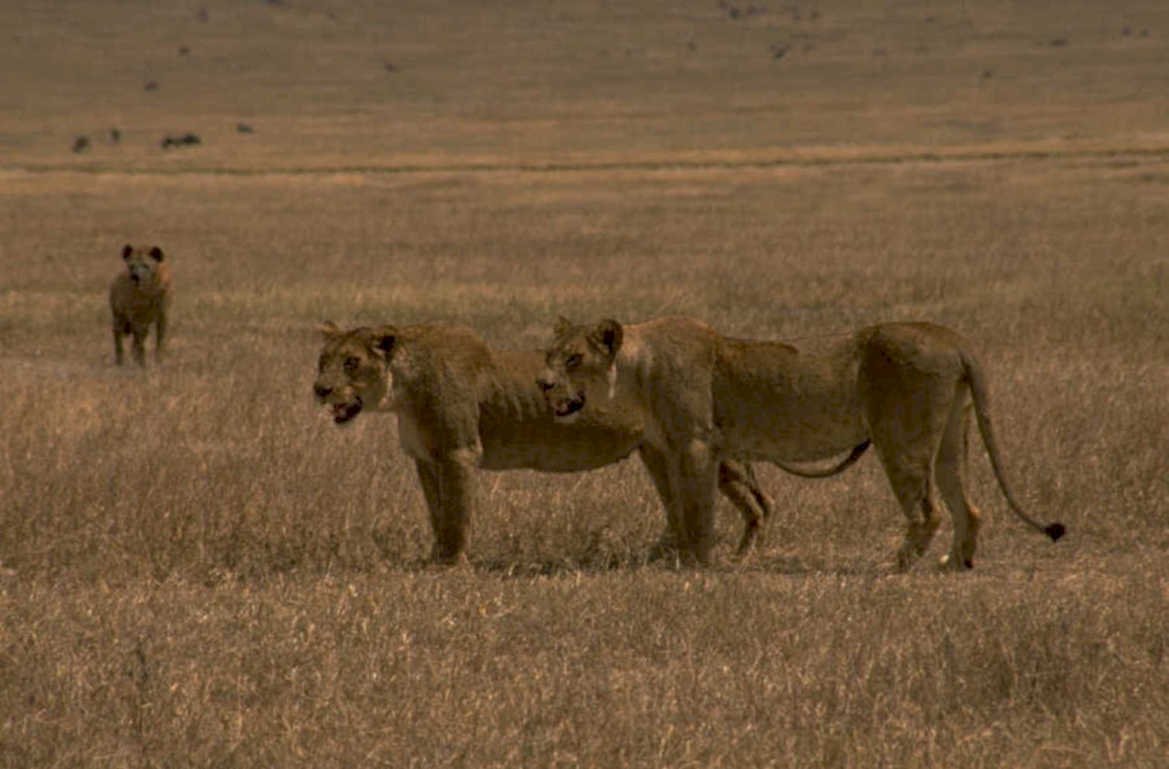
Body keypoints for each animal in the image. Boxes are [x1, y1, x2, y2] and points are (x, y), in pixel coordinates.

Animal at [312, 322, 778, 564]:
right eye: (323, 360)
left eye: (351, 362)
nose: (319, 389)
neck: (401, 391)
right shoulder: (426, 459)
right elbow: (437, 513)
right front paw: (434, 558)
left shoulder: (458, 453)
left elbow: (456, 514)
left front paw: (450, 566)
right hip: (659, 454)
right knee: (681, 505)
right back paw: (663, 554)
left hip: (705, 450)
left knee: (761, 503)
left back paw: (739, 557)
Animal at [539, 316, 1065, 569]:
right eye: (548, 355)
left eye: (574, 358)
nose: (543, 384)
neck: (634, 369)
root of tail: (954, 338)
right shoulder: (664, 450)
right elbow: (675, 508)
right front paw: (673, 556)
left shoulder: (695, 445)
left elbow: (697, 509)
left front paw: (699, 564)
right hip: (951, 437)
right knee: (969, 507)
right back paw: (955, 563)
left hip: (900, 439)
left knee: (929, 510)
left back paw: (895, 565)